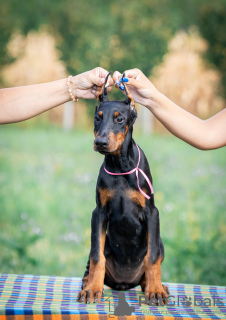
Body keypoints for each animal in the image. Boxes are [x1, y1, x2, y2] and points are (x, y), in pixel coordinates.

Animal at [77, 73, 169, 304]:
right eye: (97, 118)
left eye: (120, 119)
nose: (100, 142)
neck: (120, 165)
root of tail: (124, 284)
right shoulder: (99, 213)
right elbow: (97, 256)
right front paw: (92, 289)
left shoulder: (151, 212)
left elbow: (152, 257)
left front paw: (155, 291)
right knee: (91, 261)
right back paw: (87, 284)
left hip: (159, 242)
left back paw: (157, 286)